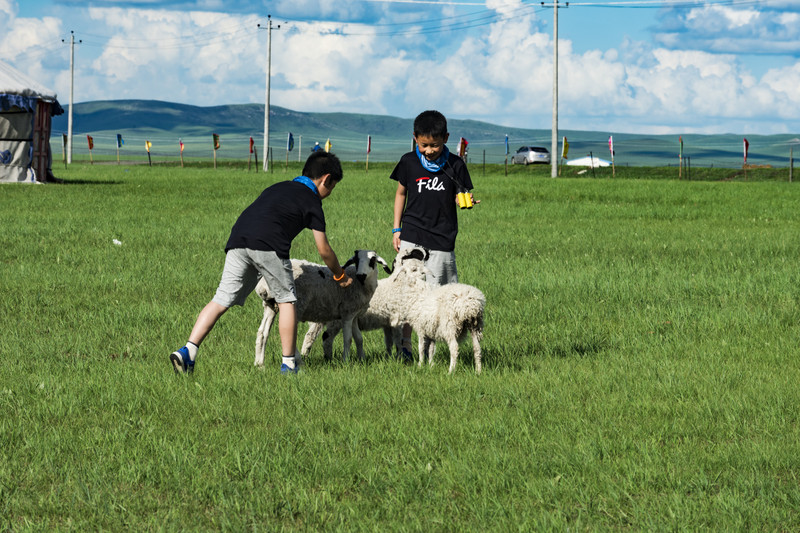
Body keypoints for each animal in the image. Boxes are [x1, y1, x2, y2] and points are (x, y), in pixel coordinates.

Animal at [253, 248, 390, 366]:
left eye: (372, 260)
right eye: (356, 260)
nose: (361, 275)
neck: (360, 283)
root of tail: (263, 285)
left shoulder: (355, 314)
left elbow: (359, 338)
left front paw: (362, 358)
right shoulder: (347, 312)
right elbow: (348, 339)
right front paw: (346, 361)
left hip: (270, 306)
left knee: (262, 333)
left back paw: (259, 364)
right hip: (296, 306)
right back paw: (299, 362)